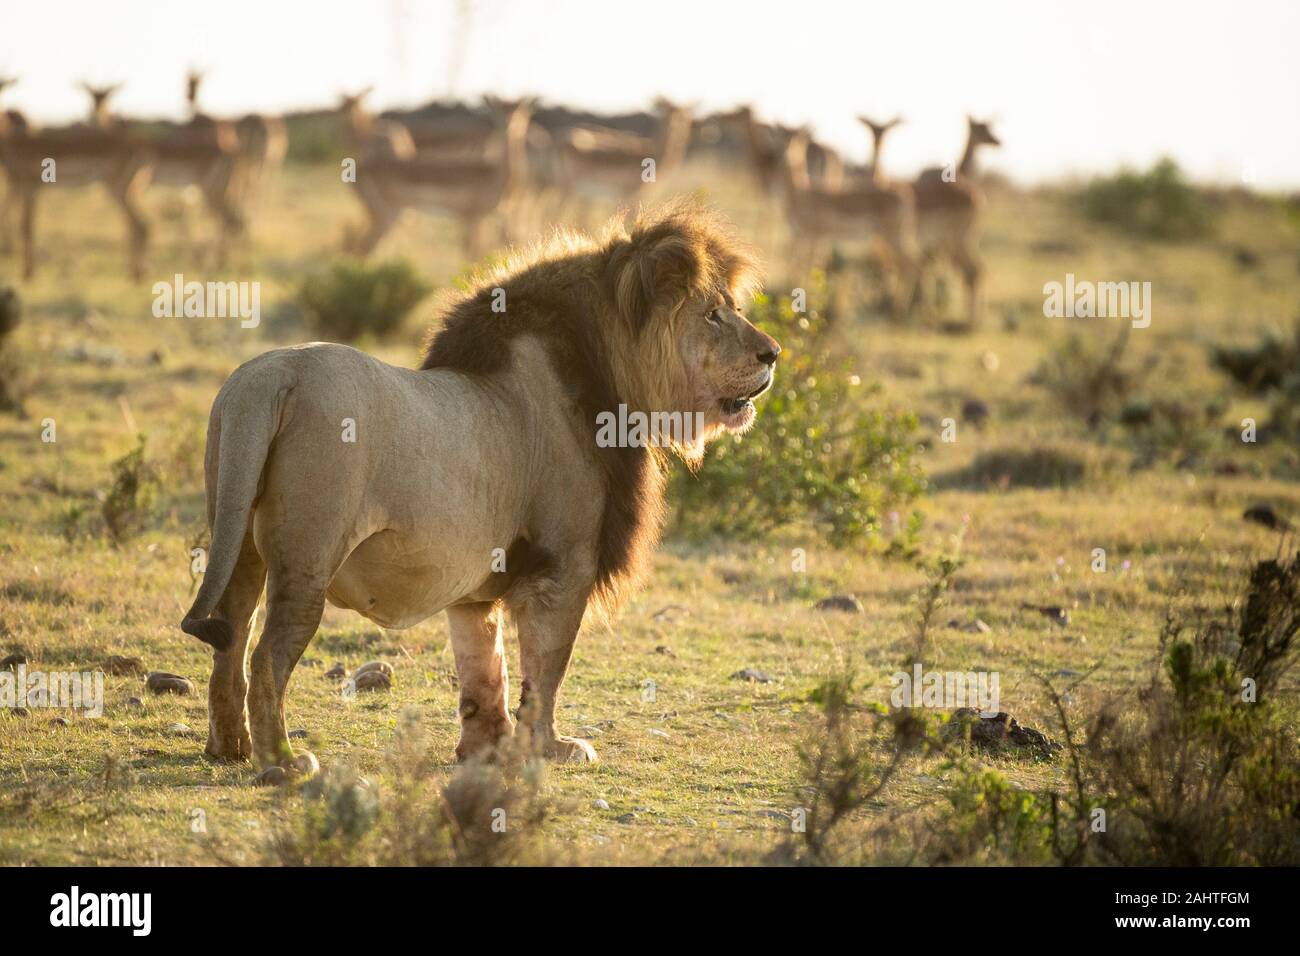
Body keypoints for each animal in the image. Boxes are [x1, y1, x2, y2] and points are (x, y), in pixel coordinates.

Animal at [179, 200, 774, 785]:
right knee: (266, 657)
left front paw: (485, 750)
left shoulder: (477, 584)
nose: (773, 352)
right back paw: (281, 762)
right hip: (307, 558)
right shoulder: (564, 564)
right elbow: (545, 670)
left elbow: (485, 667)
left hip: (238, 538)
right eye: (714, 313)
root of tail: (269, 378)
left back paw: (229, 748)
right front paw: (548, 748)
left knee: (230, 640)